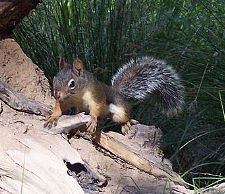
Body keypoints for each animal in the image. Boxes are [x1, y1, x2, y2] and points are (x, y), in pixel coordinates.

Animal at [44, 56, 185, 134]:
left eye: (72, 84)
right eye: (55, 78)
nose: (56, 95)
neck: (77, 95)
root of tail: (118, 93)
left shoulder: (96, 94)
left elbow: (96, 107)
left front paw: (93, 119)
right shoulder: (67, 100)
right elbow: (60, 107)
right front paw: (53, 117)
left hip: (120, 112)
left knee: (124, 117)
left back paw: (126, 123)